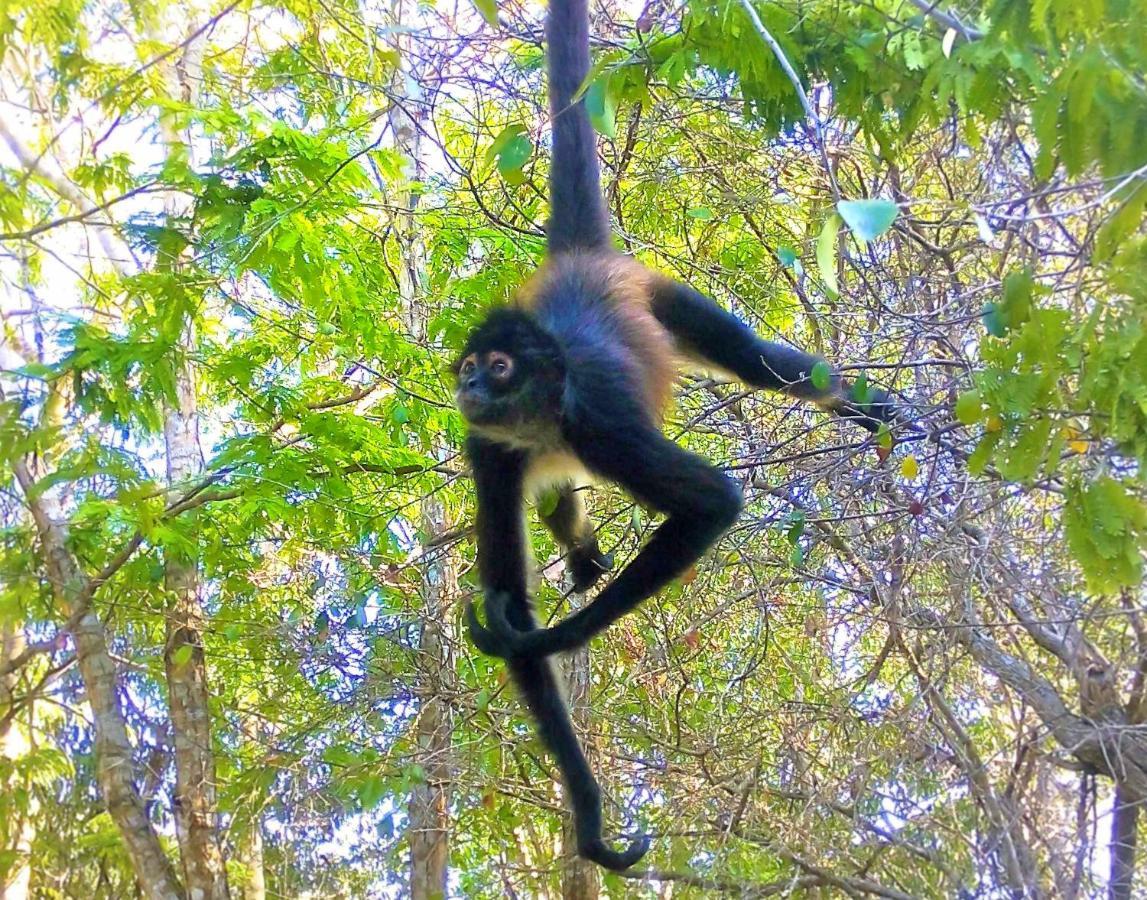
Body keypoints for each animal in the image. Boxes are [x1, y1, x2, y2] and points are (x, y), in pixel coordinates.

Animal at [454, 0, 894, 875]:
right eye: (469, 367)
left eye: (496, 367)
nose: (468, 387)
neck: (544, 415)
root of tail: (581, 264)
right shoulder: (489, 448)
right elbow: (509, 592)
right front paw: (589, 819)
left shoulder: (600, 428)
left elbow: (714, 502)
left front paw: (551, 636)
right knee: (558, 500)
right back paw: (581, 548)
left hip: (664, 296)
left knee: (766, 365)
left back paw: (873, 410)